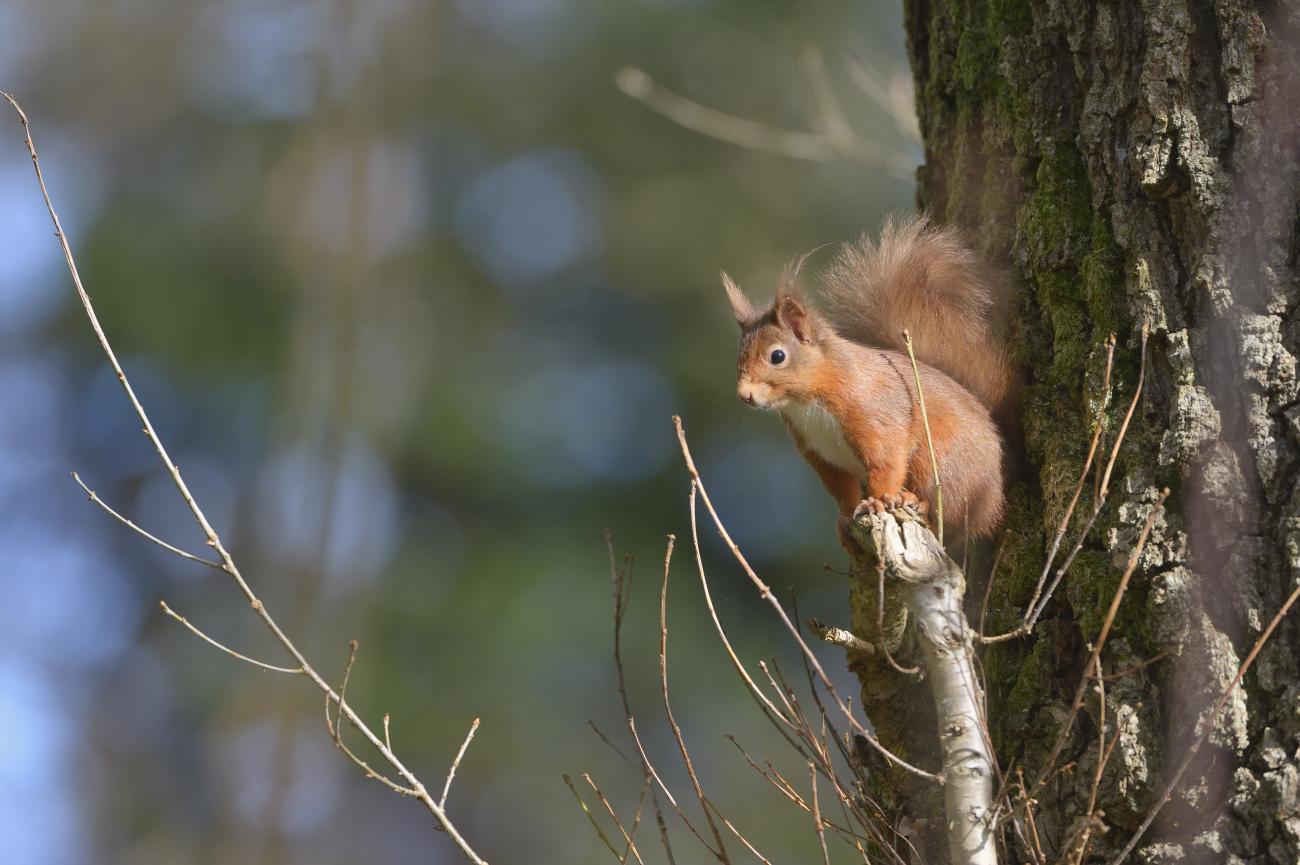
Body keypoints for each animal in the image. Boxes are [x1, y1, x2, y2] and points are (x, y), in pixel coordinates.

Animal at [722, 214, 1013, 541]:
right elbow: (841, 488)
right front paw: (845, 517)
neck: (808, 401)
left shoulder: (875, 416)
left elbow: (886, 462)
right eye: (738, 355)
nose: (744, 395)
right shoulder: (821, 454)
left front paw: (878, 501)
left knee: (948, 511)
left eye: (777, 356)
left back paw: (915, 500)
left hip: (941, 460)